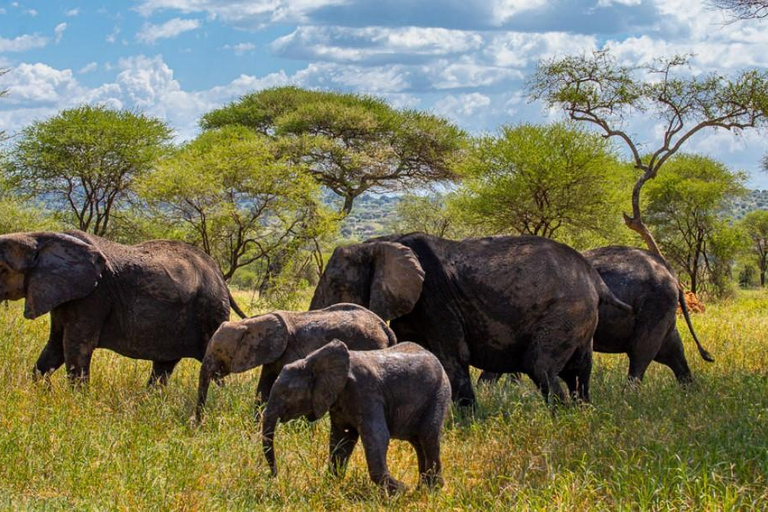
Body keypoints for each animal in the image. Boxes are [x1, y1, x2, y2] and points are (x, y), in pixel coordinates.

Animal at [0, 231, 246, 384]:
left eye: (3, 269)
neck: (40, 236)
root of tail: (220, 277)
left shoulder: (94, 295)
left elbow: (76, 348)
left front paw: (77, 406)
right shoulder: (63, 293)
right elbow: (55, 347)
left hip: (210, 311)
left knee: (213, 367)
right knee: (164, 366)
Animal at [195, 302, 396, 418]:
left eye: (218, 351)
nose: (198, 425)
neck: (253, 322)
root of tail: (386, 328)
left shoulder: (291, 351)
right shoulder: (274, 354)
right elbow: (263, 389)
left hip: (371, 345)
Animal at [260, 340, 452, 492]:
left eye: (286, 393)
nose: (274, 476)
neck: (312, 361)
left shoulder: (366, 392)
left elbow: (377, 437)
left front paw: (401, 490)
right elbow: (341, 440)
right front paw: (331, 485)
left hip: (439, 393)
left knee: (428, 436)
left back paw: (432, 490)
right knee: (418, 441)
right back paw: (421, 489)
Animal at [308, 233, 632, 408]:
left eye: (336, 284)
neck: (380, 242)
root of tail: (595, 279)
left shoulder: (436, 300)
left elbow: (452, 357)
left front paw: (466, 422)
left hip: (565, 310)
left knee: (541, 366)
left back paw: (562, 419)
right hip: (580, 317)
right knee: (579, 370)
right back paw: (582, 413)